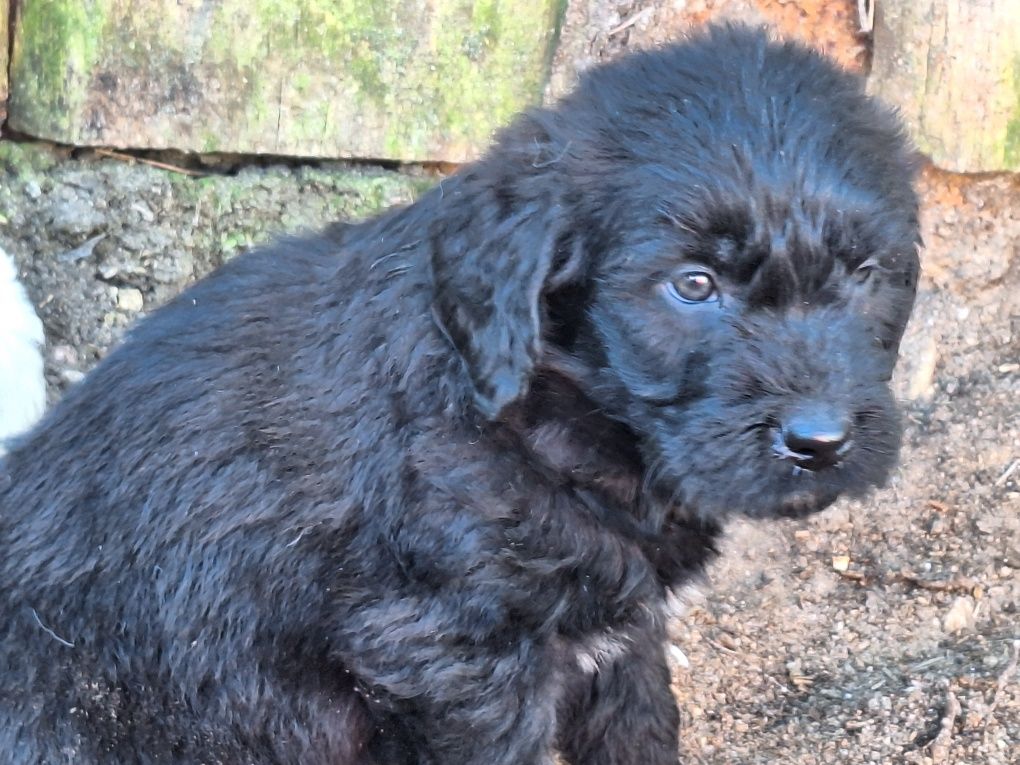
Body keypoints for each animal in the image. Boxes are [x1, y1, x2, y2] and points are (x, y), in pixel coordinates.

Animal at [0, 25, 922, 765]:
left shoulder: (622, 635)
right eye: (693, 285)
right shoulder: (448, 656)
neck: (546, 417)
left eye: (865, 274)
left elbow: (642, 724)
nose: (821, 440)